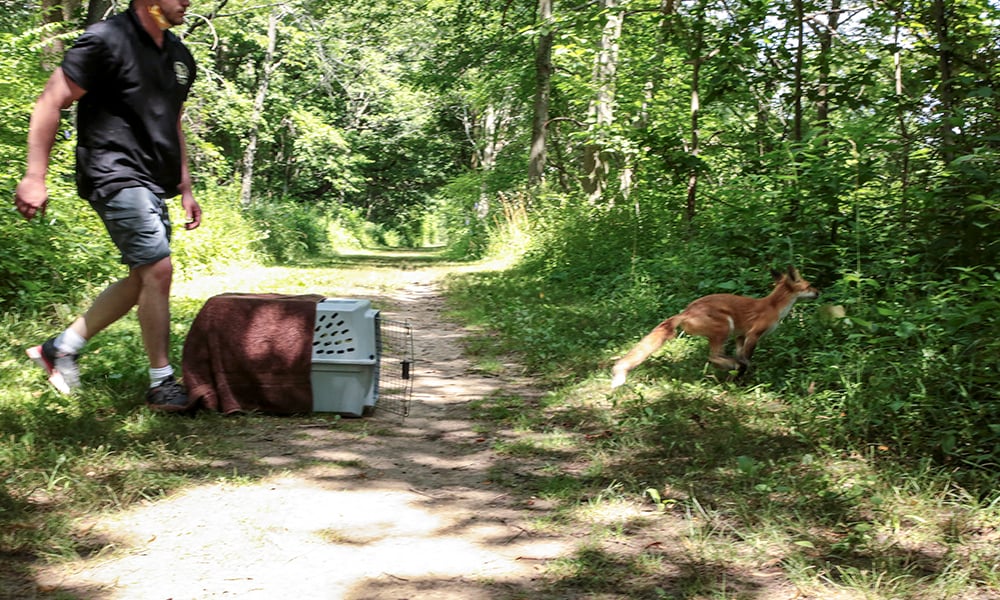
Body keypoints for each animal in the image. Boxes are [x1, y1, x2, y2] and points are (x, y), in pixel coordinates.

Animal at [608, 264, 820, 386]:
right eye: (810, 286)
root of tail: (685, 311)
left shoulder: (741, 335)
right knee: (714, 357)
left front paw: (737, 377)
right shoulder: (753, 334)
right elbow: (747, 359)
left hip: (724, 332)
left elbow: (742, 355)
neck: (774, 307)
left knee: (716, 356)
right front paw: (741, 376)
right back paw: (731, 365)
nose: (819, 292)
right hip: (724, 327)